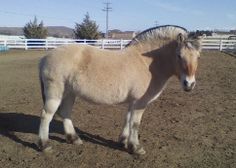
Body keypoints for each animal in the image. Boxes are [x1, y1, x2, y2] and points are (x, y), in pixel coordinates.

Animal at [38, 25, 203, 155]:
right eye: (179, 55)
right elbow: (135, 123)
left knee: (65, 112)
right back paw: (44, 145)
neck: (146, 63)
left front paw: (123, 142)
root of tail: (45, 57)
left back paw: (74, 139)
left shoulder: (133, 102)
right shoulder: (140, 103)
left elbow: (127, 119)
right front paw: (136, 148)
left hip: (69, 93)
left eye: (198, 56)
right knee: (47, 115)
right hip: (55, 93)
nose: (189, 84)